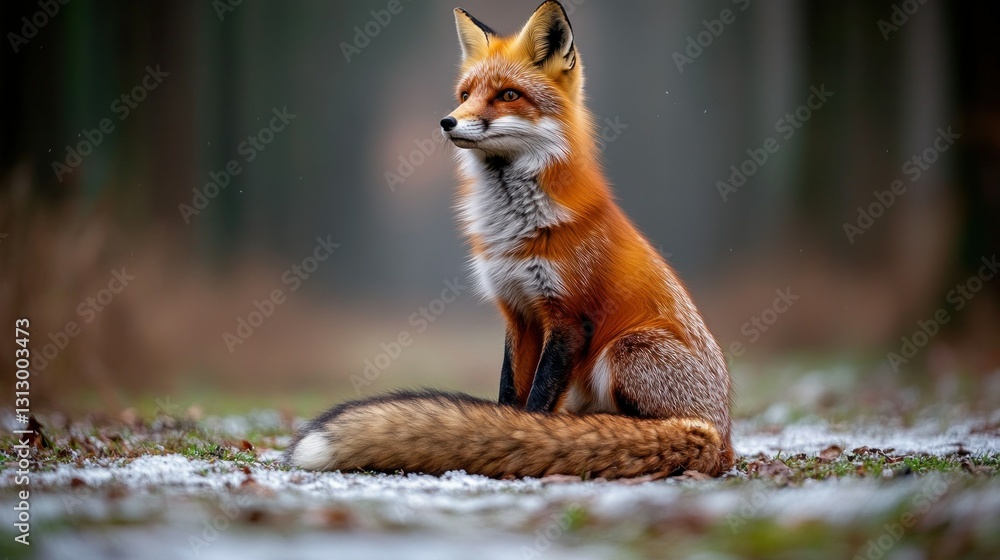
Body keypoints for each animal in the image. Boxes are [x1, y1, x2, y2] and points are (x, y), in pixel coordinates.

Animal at [285, 0, 734, 478]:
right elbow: (508, 393)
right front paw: (504, 432)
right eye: (465, 94)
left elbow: (535, 403)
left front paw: (527, 437)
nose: (447, 121)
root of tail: (721, 436)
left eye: (508, 95)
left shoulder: (569, 318)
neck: (515, 231)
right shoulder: (517, 311)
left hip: (627, 348)